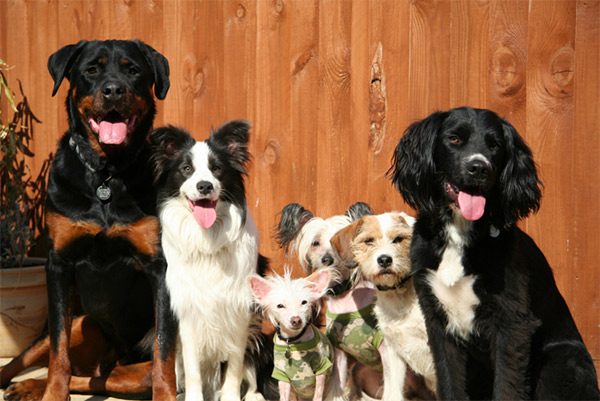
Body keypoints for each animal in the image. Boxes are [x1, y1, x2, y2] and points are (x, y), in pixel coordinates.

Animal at [0, 39, 177, 400]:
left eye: (133, 70)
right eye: (92, 70)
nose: (113, 90)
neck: (106, 174)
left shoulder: (158, 265)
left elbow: (164, 354)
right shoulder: (58, 264)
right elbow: (59, 351)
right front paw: (53, 393)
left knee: (102, 377)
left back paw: (28, 386)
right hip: (82, 321)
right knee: (41, 357)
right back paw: (22, 383)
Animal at [149, 122, 274, 400]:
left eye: (217, 169)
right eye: (186, 169)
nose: (205, 186)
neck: (207, 238)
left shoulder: (239, 307)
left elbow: (235, 364)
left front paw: (231, 397)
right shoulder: (187, 308)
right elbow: (192, 366)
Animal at [250, 268, 342, 400]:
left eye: (304, 302)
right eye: (280, 306)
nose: (296, 320)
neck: (293, 342)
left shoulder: (321, 368)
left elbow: (318, 395)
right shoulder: (282, 376)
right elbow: (284, 396)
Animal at [330, 211, 438, 398]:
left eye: (398, 239)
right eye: (368, 240)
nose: (385, 260)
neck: (399, 298)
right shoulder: (393, 352)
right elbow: (393, 393)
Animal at [390, 107, 600, 400]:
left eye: (496, 145)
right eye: (454, 139)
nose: (479, 168)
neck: (460, 233)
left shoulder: (512, 324)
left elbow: (507, 387)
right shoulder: (438, 322)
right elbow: (449, 382)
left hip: (563, 360)